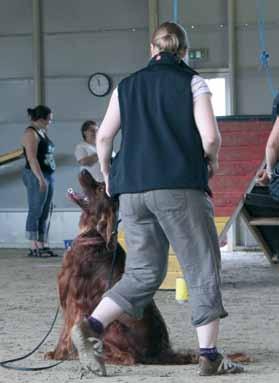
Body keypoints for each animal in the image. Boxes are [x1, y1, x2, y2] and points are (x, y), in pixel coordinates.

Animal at [44, 170, 198, 366]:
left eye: (100, 188)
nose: (84, 170)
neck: (93, 236)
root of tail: (161, 351)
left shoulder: (74, 300)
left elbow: (66, 330)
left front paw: (60, 354)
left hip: (111, 324)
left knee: (128, 357)